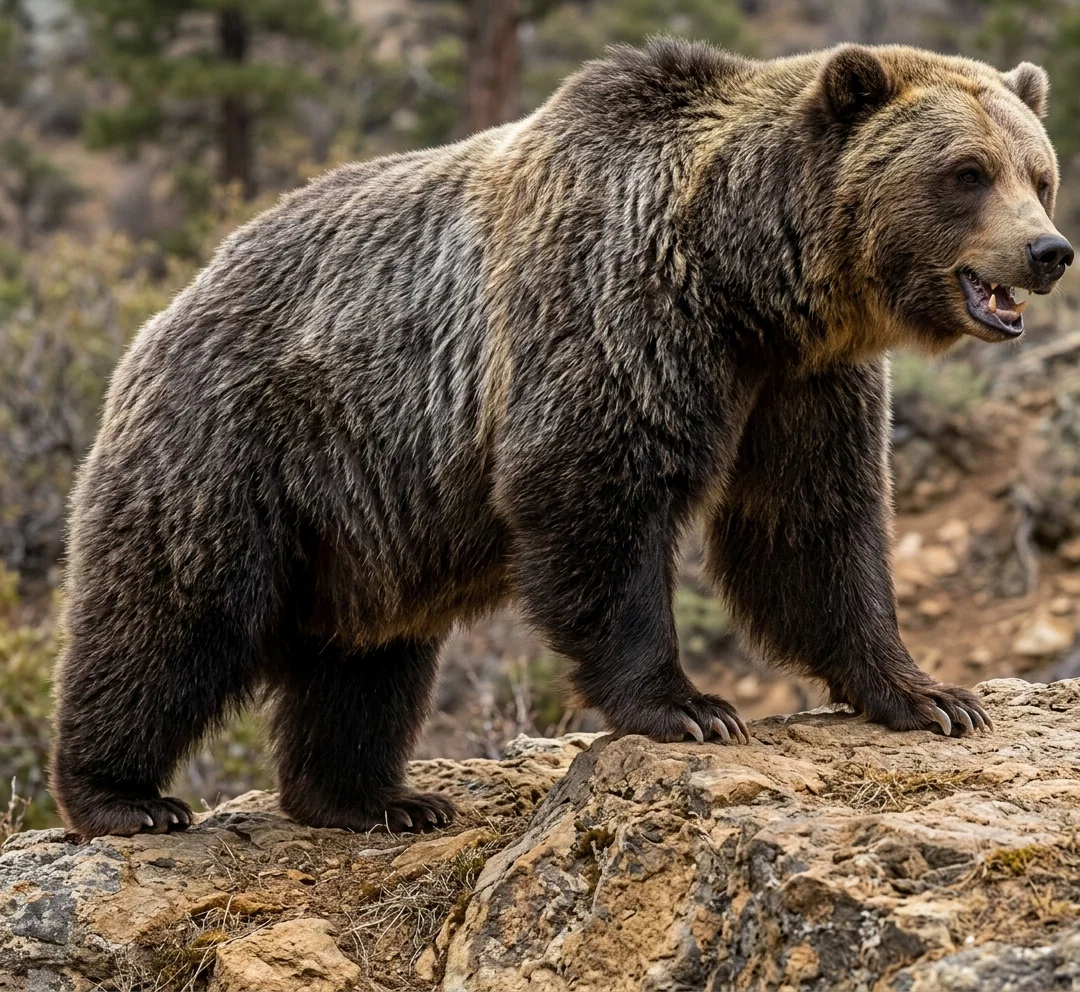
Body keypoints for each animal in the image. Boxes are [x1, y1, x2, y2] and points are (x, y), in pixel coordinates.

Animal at [50, 39, 1073, 839]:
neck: (747, 284)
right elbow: (597, 494)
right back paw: (123, 797)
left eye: (1039, 173)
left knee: (367, 659)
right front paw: (690, 707)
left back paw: (375, 799)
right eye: (966, 172)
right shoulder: (615, 309)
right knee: (171, 618)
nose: (1048, 252)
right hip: (240, 446)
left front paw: (932, 695)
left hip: (365, 522)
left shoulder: (802, 384)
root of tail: (168, 306)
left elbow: (814, 528)